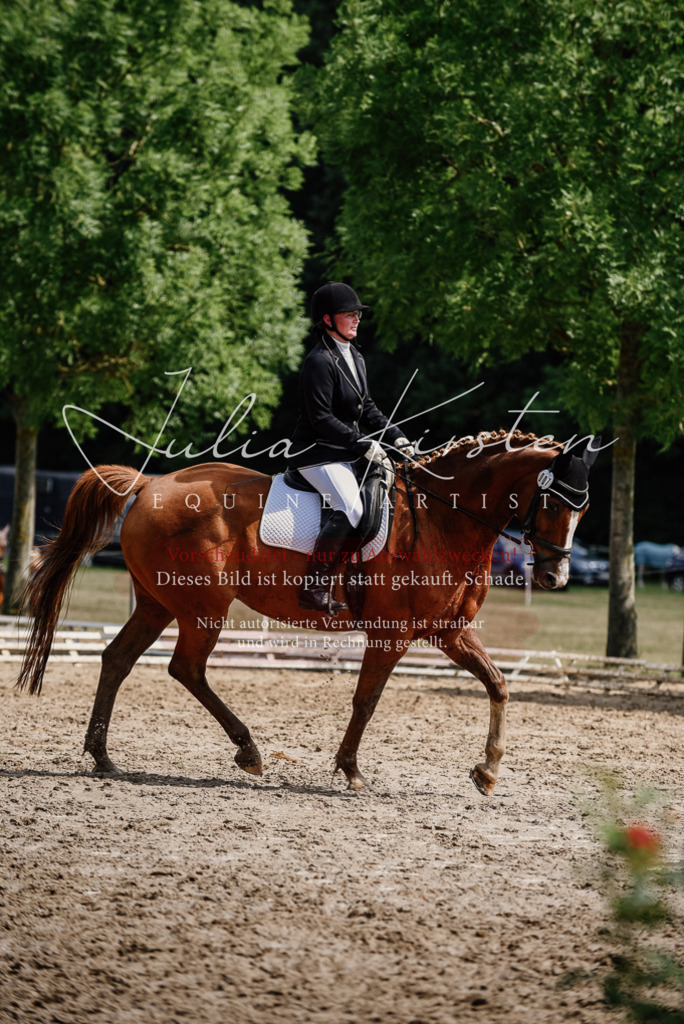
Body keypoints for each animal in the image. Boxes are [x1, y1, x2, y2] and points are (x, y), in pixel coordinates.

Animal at [16, 429, 600, 795]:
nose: (555, 578)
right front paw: (351, 771)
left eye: (586, 508)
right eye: (554, 501)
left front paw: (488, 771)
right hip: (203, 607)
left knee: (117, 660)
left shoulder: (449, 634)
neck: (442, 520)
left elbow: (499, 684)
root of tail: (148, 485)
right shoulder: (391, 635)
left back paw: (103, 757)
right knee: (186, 668)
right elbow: (366, 701)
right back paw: (248, 751)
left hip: (159, 603)